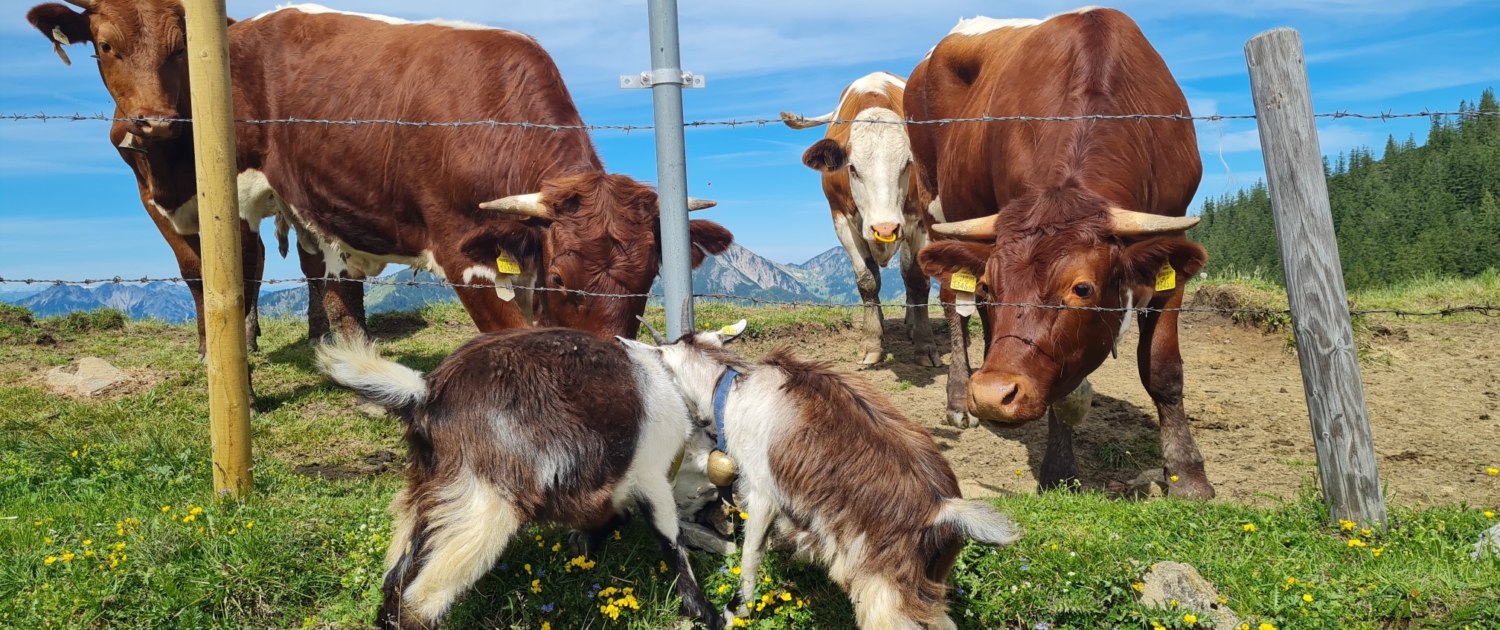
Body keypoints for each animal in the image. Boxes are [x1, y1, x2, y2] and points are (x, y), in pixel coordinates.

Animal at [21, 1, 726, 345]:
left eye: (647, 281)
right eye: (561, 276)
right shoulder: (463, 247)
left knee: (323, 274)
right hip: (219, 191)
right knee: (235, 270)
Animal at [316, 330, 720, 630]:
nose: (713, 514)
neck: (672, 387)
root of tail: (428, 392)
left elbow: (613, 516)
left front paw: (584, 543)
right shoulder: (651, 475)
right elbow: (670, 539)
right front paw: (703, 609)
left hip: (429, 489)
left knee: (396, 578)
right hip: (487, 499)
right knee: (420, 600)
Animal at [621, 325, 1020, 630]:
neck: (730, 384)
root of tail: (940, 508)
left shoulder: (762, 490)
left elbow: (750, 553)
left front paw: (736, 610)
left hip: (886, 591)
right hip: (924, 584)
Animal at [786, 73, 936, 366]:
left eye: (907, 163)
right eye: (852, 168)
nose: (885, 228)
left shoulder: (918, 221)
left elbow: (916, 280)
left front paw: (925, 344)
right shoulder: (841, 220)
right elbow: (867, 281)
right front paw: (871, 342)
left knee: (905, 274)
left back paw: (912, 325)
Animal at [900, 6, 1218, 498]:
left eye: (1082, 289)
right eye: (989, 285)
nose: (991, 394)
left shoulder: (1172, 242)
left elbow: (1164, 371)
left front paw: (1187, 474)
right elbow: (1068, 392)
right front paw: (1060, 468)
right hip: (937, 202)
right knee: (954, 302)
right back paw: (960, 398)